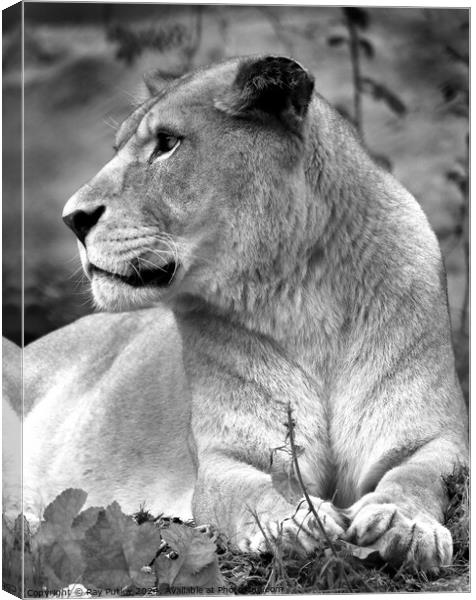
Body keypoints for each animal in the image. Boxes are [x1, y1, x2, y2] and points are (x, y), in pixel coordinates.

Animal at [23, 57, 468, 572]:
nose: (72, 218)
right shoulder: (225, 457)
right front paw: (295, 524)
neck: (303, 295)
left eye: (167, 144)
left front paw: (404, 524)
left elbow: (419, 476)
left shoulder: (437, 436)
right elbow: (252, 492)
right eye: (116, 150)